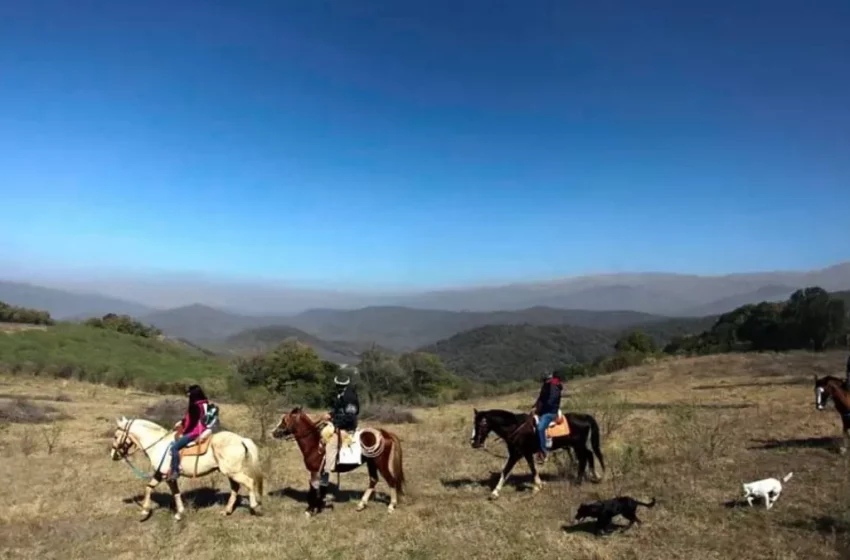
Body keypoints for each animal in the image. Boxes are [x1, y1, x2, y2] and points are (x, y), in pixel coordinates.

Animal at [111, 416, 262, 520]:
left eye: (116, 435)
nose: (113, 455)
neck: (158, 445)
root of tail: (241, 439)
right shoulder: (161, 474)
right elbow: (152, 489)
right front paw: (146, 511)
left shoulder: (166, 476)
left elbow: (172, 493)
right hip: (231, 473)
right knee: (235, 488)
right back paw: (226, 510)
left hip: (232, 472)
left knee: (249, 482)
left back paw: (254, 507)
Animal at [272, 406, 404, 516]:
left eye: (284, 419)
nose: (274, 432)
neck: (314, 444)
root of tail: (385, 434)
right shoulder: (322, 472)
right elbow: (321, 488)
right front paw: (318, 507)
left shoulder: (315, 471)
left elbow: (314, 488)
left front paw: (310, 510)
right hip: (371, 463)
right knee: (373, 480)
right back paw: (361, 504)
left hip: (381, 463)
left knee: (391, 481)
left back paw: (391, 506)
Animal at [470, 406, 604, 498]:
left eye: (481, 424)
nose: (474, 443)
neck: (516, 428)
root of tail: (585, 416)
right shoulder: (525, 454)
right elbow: (531, 469)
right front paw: (538, 485)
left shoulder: (516, 454)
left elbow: (506, 470)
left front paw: (495, 492)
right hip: (579, 446)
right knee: (589, 454)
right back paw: (595, 476)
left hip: (578, 446)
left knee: (583, 459)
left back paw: (578, 482)